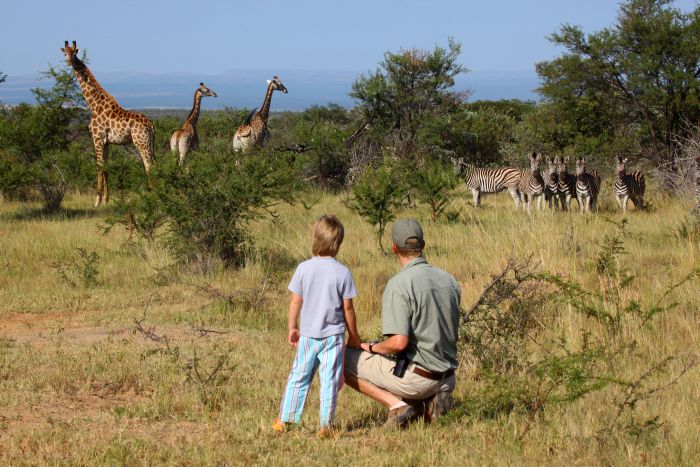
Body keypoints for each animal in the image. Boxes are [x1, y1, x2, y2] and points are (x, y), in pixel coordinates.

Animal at [60, 40, 155, 207]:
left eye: (74, 53)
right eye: (65, 52)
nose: (69, 61)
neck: (94, 104)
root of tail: (150, 126)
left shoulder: (97, 138)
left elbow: (99, 167)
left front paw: (97, 201)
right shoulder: (107, 142)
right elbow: (106, 167)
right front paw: (106, 199)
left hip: (141, 143)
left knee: (148, 165)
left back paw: (152, 196)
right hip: (149, 143)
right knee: (154, 164)